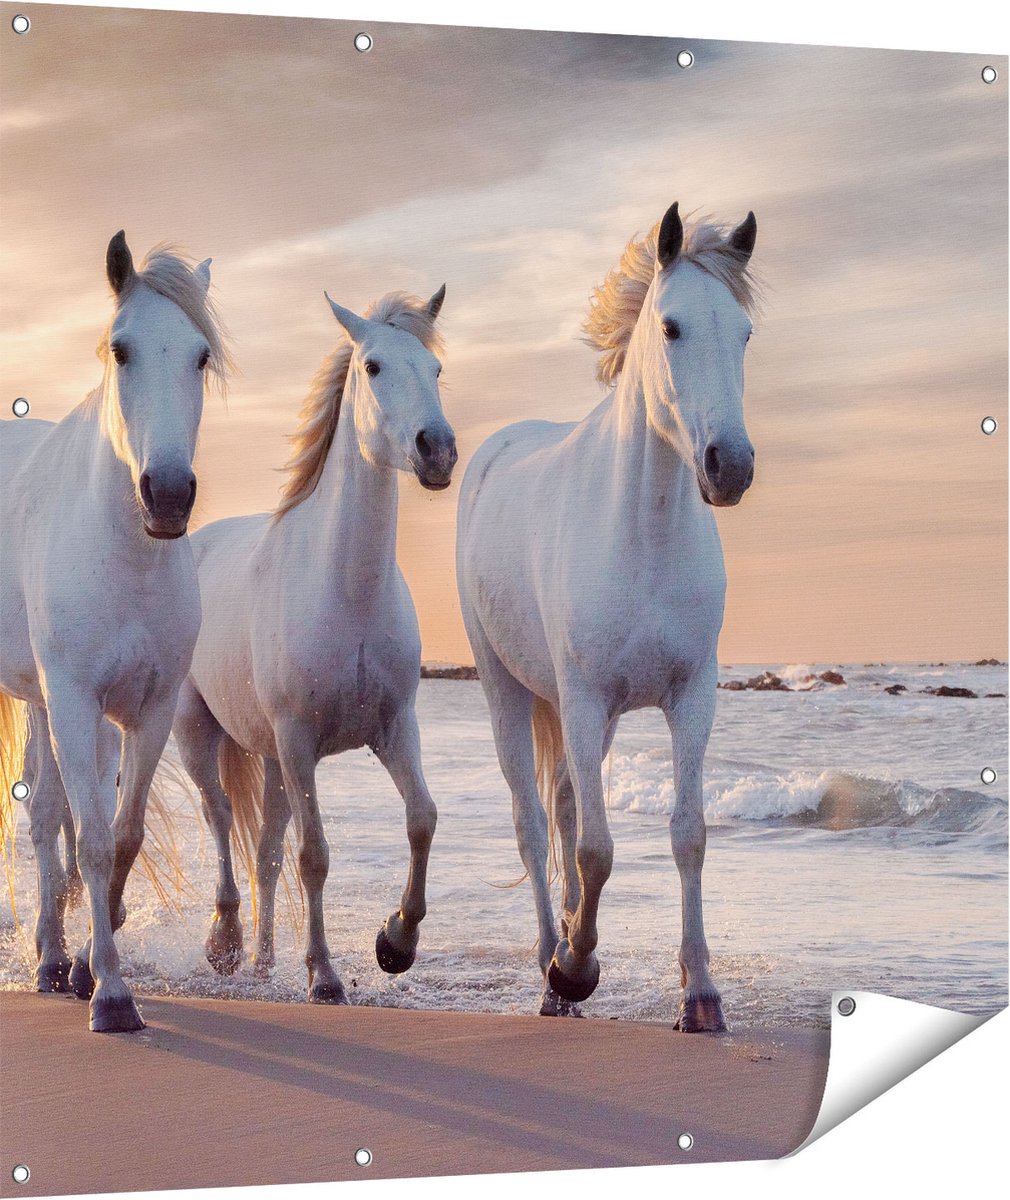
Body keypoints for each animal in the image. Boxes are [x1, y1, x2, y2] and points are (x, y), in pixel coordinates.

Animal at [0, 233, 228, 1032]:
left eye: (200, 355)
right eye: (122, 350)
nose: (168, 495)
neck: (125, 554)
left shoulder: (148, 708)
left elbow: (119, 830)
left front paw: (95, 956)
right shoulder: (74, 698)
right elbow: (94, 840)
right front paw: (112, 995)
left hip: (49, 703)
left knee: (46, 812)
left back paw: (51, 958)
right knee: (50, 818)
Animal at [172, 285, 455, 1003]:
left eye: (436, 369)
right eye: (374, 366)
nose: (437, 450)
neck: (345, 590)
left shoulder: (394, 727)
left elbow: (422, 819)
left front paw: (396, 942)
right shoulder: (300, 741)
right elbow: (315, 856)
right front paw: (324, 975)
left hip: (272, 760)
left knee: (265, 849)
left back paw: (264, 959)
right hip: (199, 731)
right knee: (221, 818)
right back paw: (225, 942)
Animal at [456, 201, 759, 1028]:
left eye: (744, 334)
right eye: (672, 328)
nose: (731, 467)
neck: (644, 532)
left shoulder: (690, 697)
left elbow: (688, 835)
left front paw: (701, 994)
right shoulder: (585, 699)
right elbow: (596, 850)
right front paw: (575, 967)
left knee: (562, 808)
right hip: (508, 689)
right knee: (534, 825)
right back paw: (548, 966)